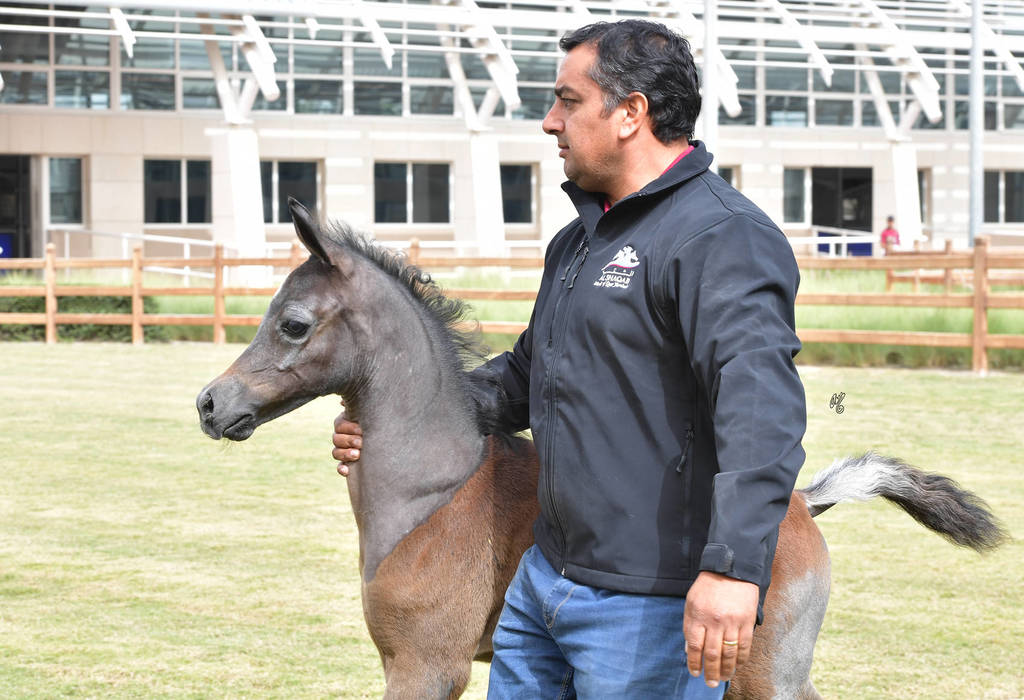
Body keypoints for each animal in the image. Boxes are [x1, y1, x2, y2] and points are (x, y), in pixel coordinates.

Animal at [196, 199, 1006, 699]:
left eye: (293, 324)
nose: (211, 403)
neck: (431, 491)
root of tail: (803, 502)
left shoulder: (426, 665)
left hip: (764, 671)